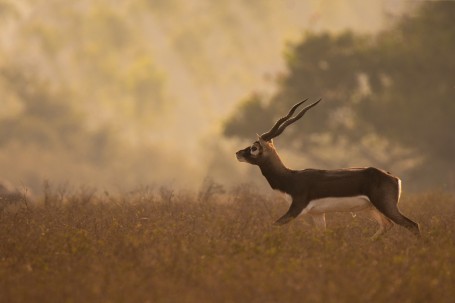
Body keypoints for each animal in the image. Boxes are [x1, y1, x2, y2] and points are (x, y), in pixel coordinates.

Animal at [237, 100, 422, 240]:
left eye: (254, 147)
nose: (238, 153)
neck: (291, 177)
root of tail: (393, 177)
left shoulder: (296, 208)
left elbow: (273, 225)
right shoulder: (317, 214)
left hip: (386, 206)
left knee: (412, 225)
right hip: (370, 208)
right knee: (386, 226)